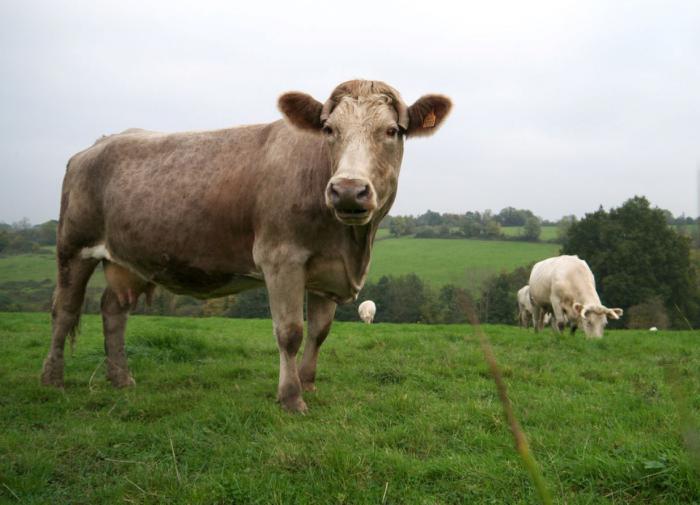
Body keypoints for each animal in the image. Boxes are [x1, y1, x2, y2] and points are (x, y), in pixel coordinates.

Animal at [39, 78, 454, 410]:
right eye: (329, 128)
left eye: (392, 131)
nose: (348, 190)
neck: (351, 244)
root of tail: (94, 146)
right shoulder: (281, 258)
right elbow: (290, 332)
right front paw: (291, 398)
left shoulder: (328, 270)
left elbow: (319, 332)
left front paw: (308, 384)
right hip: (73, 247)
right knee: (65, 310)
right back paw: (52, 380)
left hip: (128, 259)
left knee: (113, 310)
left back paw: (121, 379)